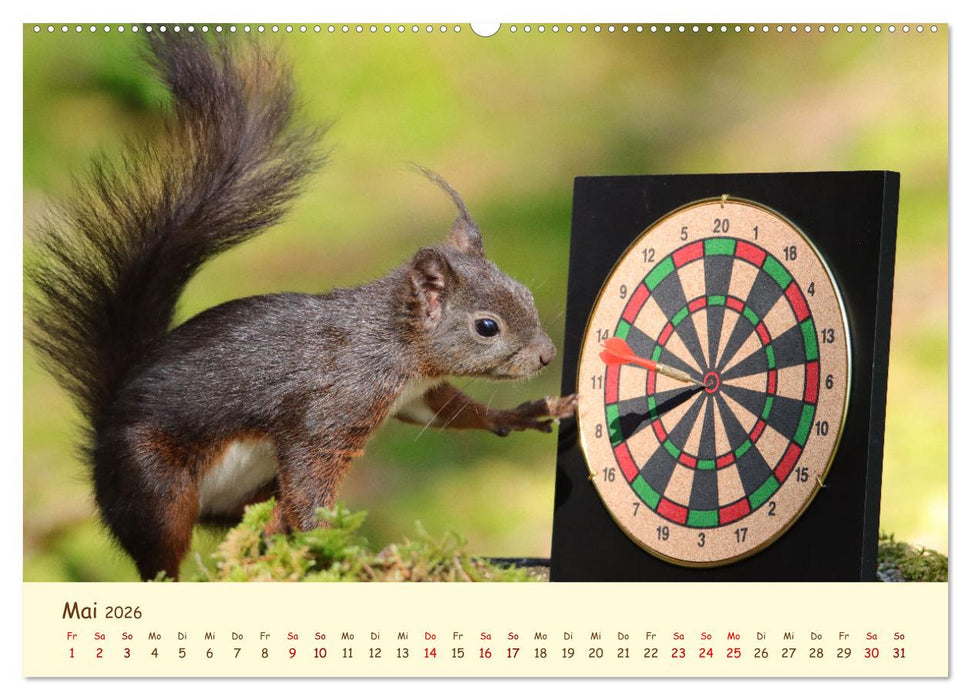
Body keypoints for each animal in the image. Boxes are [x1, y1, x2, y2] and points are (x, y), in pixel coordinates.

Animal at [26, 32, 577, 581]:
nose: (547, 356)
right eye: (487, 326)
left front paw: (523, 413)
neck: (394, 344)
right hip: (155, 481)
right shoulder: (329, 409)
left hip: (252, 493)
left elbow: (446, 410)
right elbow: (313, 479)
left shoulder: (413, 393)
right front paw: (341, 551)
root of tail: (102, 442)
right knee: (159, 554)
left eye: (526, 294)